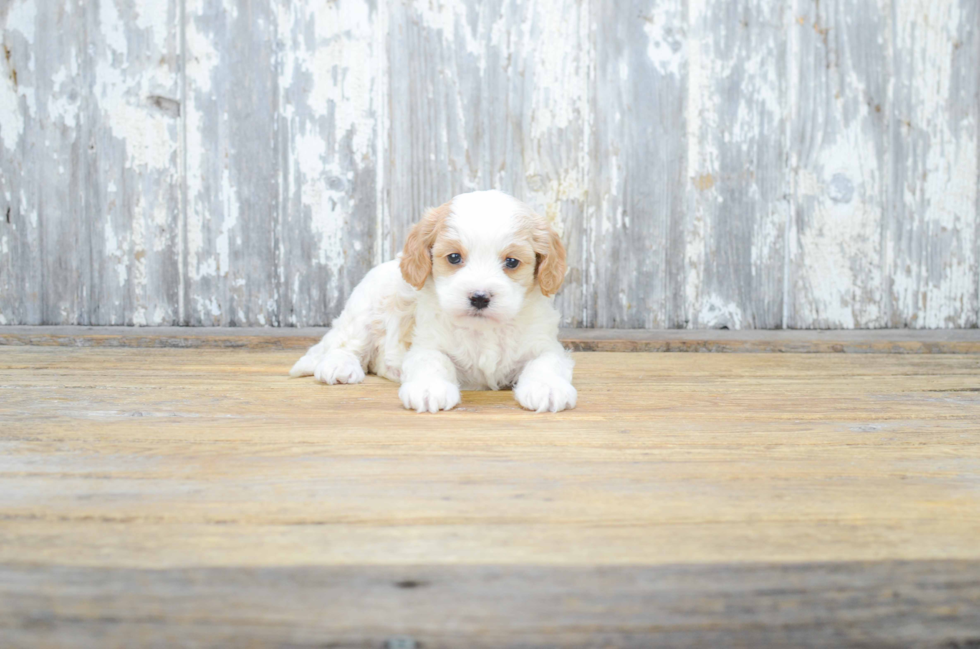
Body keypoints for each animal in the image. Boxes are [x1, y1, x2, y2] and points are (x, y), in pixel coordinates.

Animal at [290, 187, 580, 412]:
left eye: (511, 262)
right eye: (454, 257)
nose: (479, 297)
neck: (483, 330)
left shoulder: (544, 344)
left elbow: (546, 362)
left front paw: (547, 388)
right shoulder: (426, 343)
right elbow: (433, 361)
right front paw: (430, 389)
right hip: (364, 310)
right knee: (346, 344)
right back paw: (339, 366)